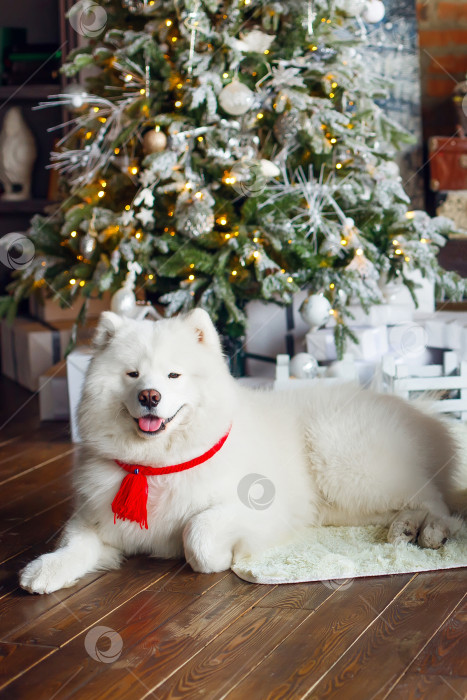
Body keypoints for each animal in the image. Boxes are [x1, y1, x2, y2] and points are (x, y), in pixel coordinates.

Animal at [20, 308, 466, 592]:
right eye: (132, 374)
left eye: (173, 375)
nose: (149, 396)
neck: (156, 466)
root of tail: (418, 409)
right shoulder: (97, 517)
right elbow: (73, 544)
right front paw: (43, 571)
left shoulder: (259, 508)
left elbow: (197, 532)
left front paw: (217, 560)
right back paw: (404, 528)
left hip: (349, 466)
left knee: (437, 502)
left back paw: (430, 531)